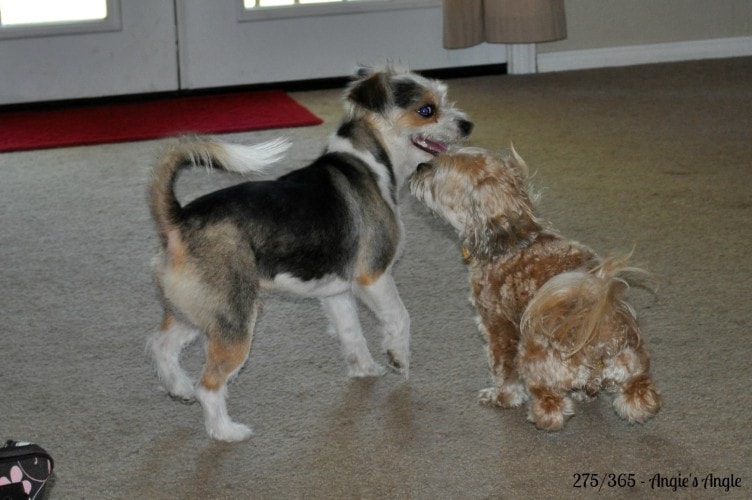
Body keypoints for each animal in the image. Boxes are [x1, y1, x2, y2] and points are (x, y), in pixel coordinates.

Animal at [149, 65, 472, 442]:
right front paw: (397, 359)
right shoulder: (374, 277)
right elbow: (399, 317)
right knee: (209, 384)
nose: (467, 125)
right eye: (427, 110)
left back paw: (179, 389)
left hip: (198, 312)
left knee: (160, 346)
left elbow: (351, 333)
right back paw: (226, 431)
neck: (369, 163)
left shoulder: (336, 292)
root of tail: (177, 219)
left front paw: (365, 370)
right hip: (235, 321)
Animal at [408, 147, 660, 430]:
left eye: (437, 170)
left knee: (551, 403)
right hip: (633, 369)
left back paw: (541, 414)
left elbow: (503, 371)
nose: (419, 167)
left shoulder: (498, 326)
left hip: (532, 356)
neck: (510, 240)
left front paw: (501, 397)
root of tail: (599, 334)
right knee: (639, 397)